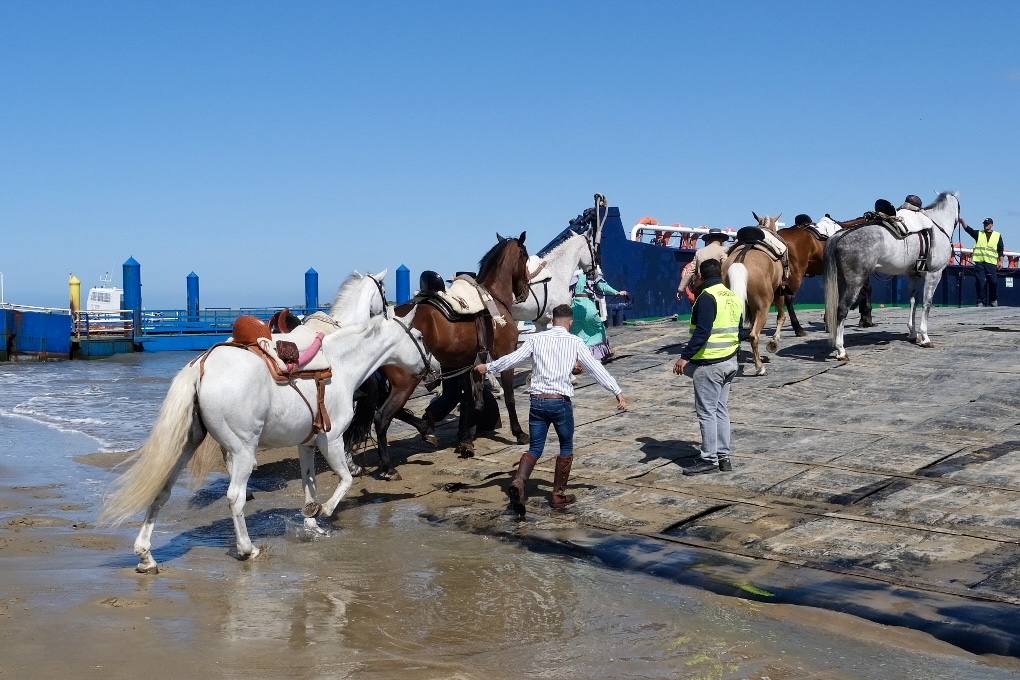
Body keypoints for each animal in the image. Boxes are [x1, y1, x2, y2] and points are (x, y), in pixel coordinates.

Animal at [103, 316, 438, 574]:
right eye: (420, 336)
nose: (434, 367)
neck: (340, 366)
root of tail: (201, 367)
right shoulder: (330, 440)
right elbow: (345, 480)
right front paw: (324, 513)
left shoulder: (307, 444)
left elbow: (309, 484)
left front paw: (311, 521)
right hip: (242, 451)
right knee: (235, 497)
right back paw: (246, 549)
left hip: (186, 446)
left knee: (161, 493)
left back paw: (146, 556)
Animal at [369, 234, 530, 479]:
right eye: (526, 257)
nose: (525, 291)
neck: (492, 298)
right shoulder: (506, 354)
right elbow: (509, 397)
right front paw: (518, 433)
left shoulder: (464, 365)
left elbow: (468, 401)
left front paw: (465, 439)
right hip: (405, 382)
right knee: (381, 417)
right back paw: (388, 467)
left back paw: (426, 430)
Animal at [824, 191, 958, 360]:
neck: (937, 225)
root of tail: (839, 236)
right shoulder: (934, 274)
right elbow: (926, 303)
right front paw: (925, 337)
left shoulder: (913, 276)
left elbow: (913, 302)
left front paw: (913, 333)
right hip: (854, 283)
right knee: (842, 310)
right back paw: (841, 350)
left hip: (841, 282)